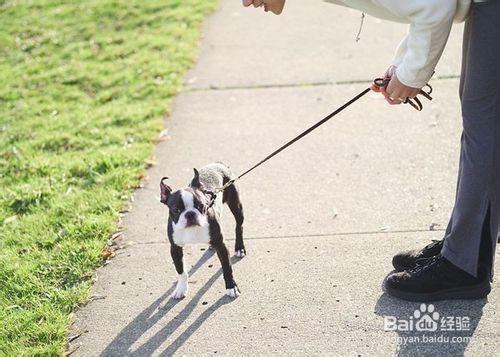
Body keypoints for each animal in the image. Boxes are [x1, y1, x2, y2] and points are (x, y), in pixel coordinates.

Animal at [160, 163, 246, 298]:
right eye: (176, 210)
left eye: (201, 205)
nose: (190, 214)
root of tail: (218, 163)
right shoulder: (175, 248)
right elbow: (181, 271)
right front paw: (181, 289)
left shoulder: (221, 245)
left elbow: (227, 268)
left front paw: (231, 287)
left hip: (236, 205)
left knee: (239, 226)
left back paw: (239, 248)